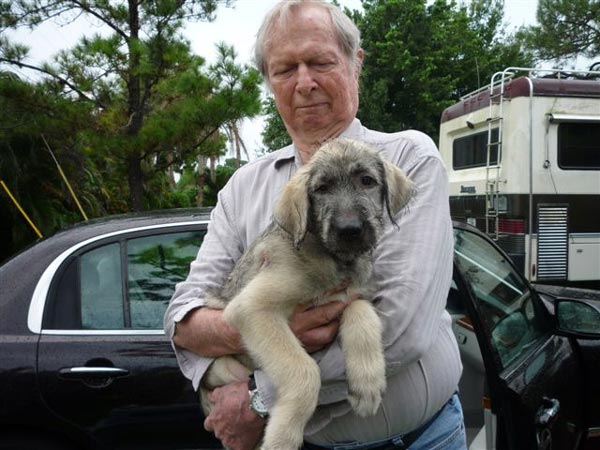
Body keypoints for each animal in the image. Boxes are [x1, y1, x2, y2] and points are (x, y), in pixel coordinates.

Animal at [201, 138, 413, 450]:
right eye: (322, 188)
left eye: (367, 181)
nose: (350, 230)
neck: (333, 258)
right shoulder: (252, 308)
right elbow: (305, 371)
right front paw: (282, 438)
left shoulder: (352, 295)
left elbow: (362, 312)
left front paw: (367, 383)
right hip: (226, 369)